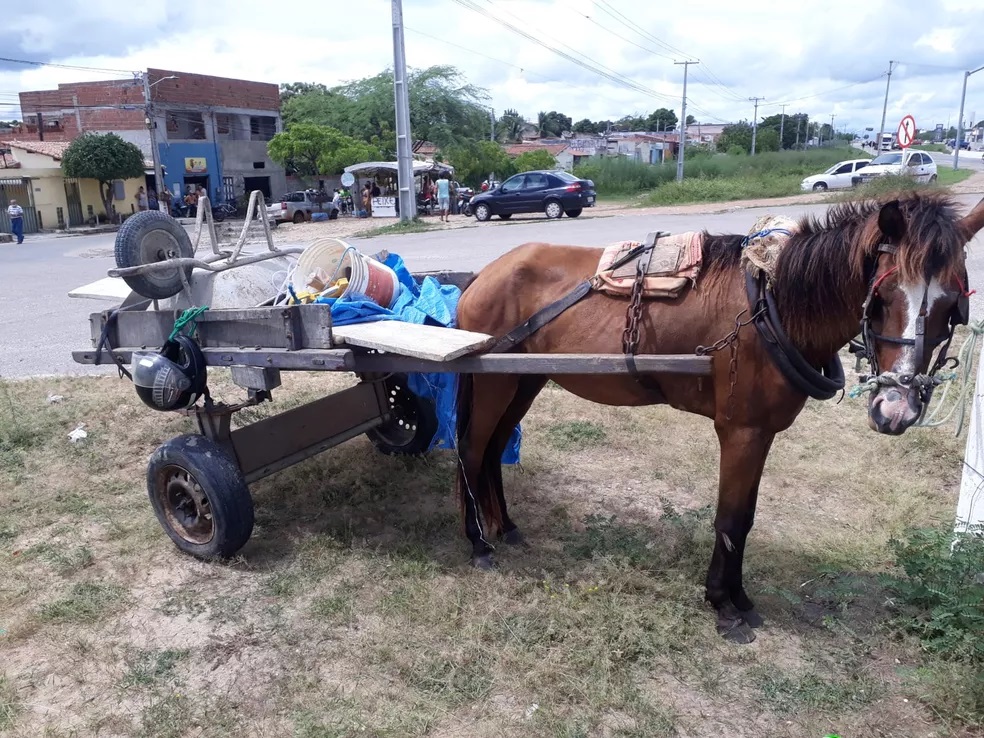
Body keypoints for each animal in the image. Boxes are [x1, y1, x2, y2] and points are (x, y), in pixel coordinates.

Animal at [454, 190, 984, 640]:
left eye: (952, 308)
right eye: (882, 297)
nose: (895, 409)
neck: (772, 306)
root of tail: (483, 275)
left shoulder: (763, 433)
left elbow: (745, 518)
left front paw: (739, 597)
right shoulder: (741, 431)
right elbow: (729, 519)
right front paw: (723, 605)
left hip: (524, 380)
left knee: (495, 449)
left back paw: (505, 527)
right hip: (493, 383)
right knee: (472, 449)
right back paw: (478, 544)